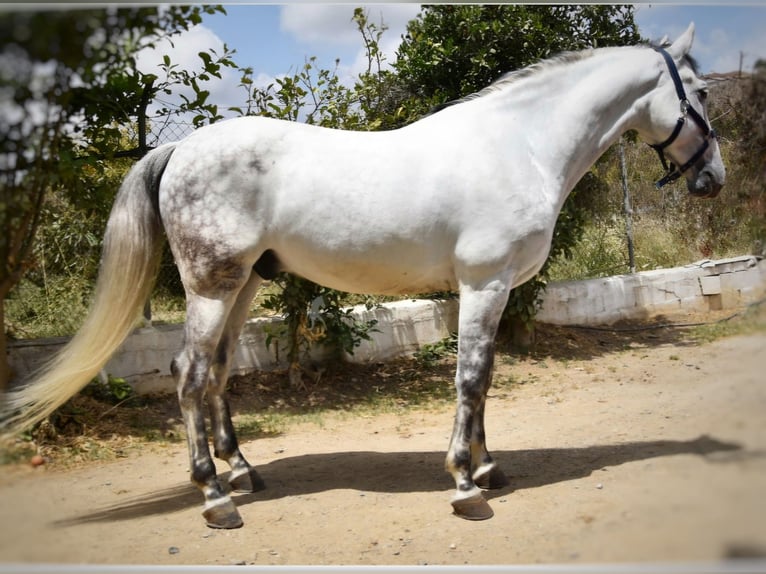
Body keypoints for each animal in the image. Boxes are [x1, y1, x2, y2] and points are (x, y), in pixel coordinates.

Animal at [4, 24, 728, 528]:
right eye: (697, 93)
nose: (713, 179)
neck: (517, 144)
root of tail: (181, 146)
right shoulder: (484, 284)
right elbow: (470, 377)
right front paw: (464, 484)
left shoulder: (491, 292)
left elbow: (484, 376)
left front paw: (489, 467)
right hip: (212, 285)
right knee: (189, 375)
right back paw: (214, 497)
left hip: (244, 285)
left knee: (216, 374)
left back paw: (242, 473)